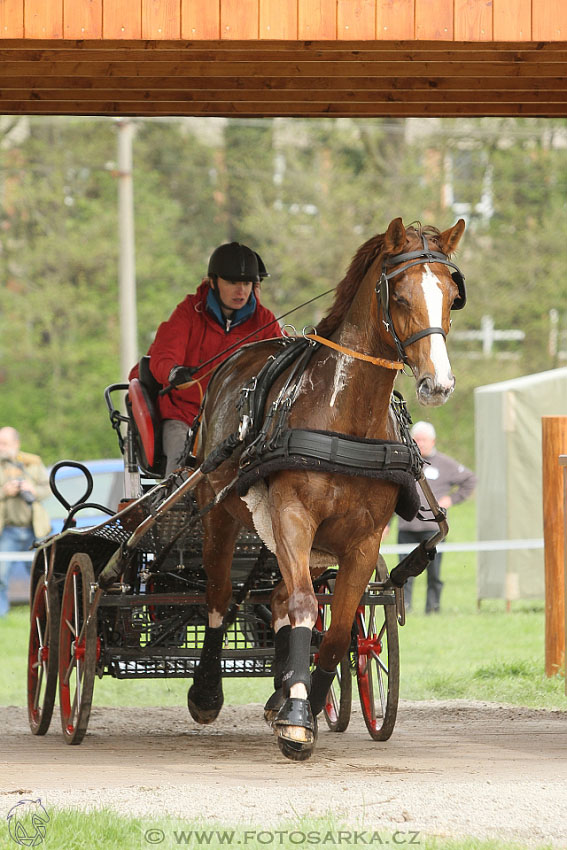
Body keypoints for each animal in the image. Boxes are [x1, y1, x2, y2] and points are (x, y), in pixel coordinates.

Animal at [189, 215, 464, 760]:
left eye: (450, 294)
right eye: (401, 295)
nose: (438, 384)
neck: (345, 418)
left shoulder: (363, 539)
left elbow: (336, 631)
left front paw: (305, 704)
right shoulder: (293, 516)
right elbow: (302, 607)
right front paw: (297, 720)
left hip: (308, 544)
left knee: (280, 599)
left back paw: (282, 692)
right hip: (223, 515)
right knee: (219, 596)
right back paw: (208, 688)